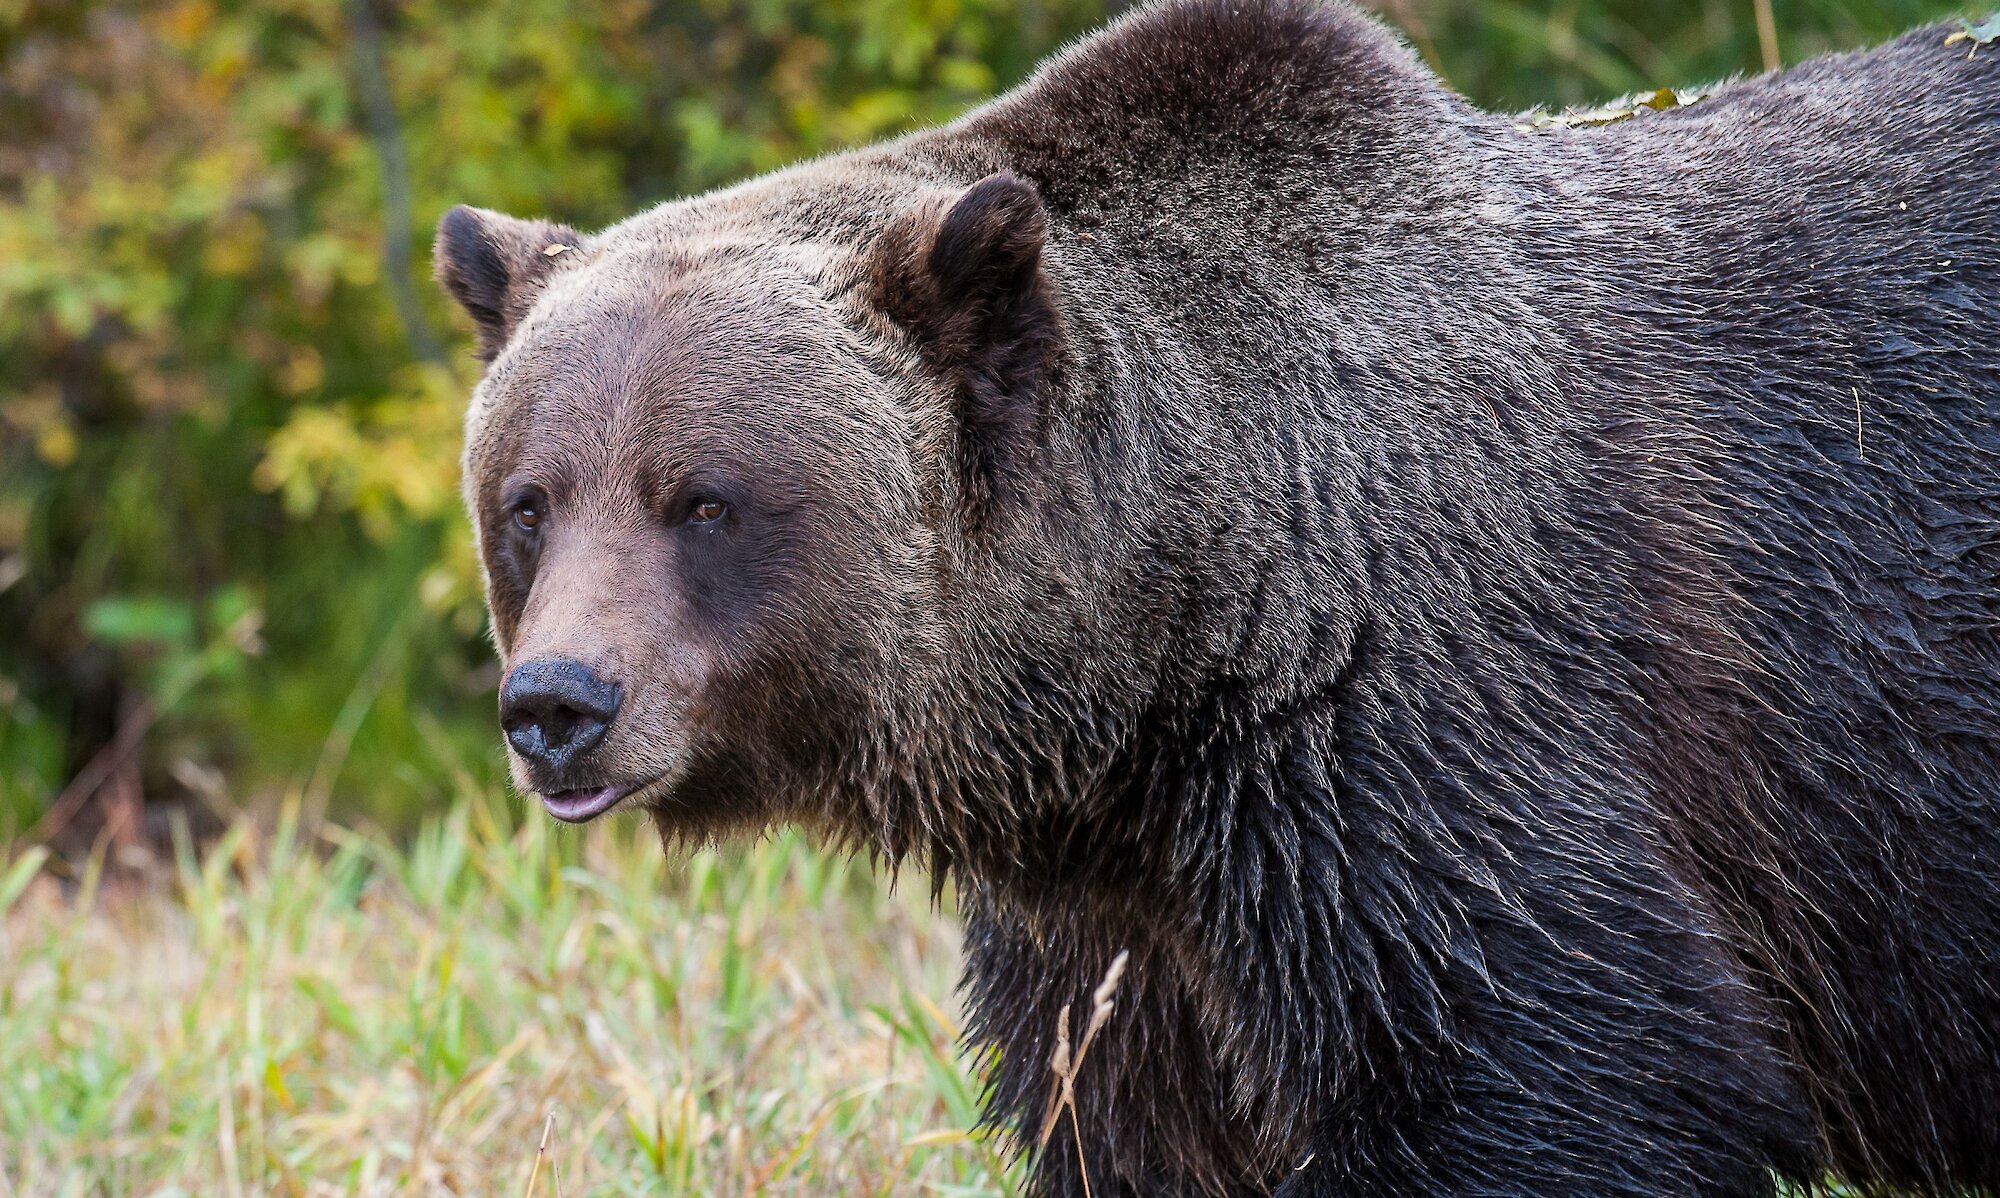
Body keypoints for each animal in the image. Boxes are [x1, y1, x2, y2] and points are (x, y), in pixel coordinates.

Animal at [434, 4, 2000, 1192]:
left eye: (703, 498)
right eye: (530, 500)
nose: (557, 703)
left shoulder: (1418, 725)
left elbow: (1559, 1064)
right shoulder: (1125, 933)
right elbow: (1127, 1121)